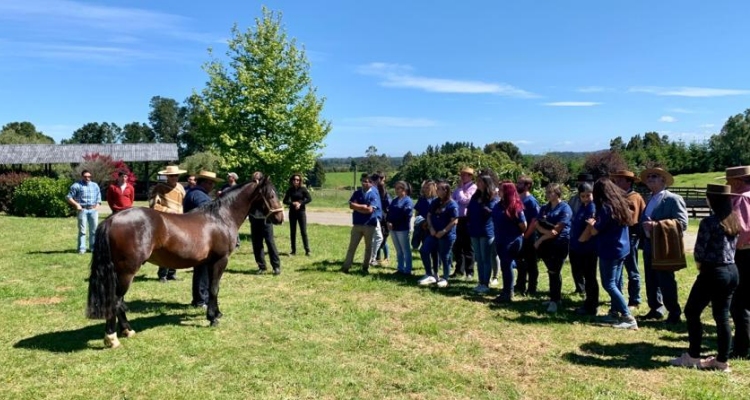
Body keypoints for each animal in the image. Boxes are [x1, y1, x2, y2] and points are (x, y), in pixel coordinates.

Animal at [85, 175, 284, 346]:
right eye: (271, 195)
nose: (280, 218)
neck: (220, 217)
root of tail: (111, 220)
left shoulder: (208, 262)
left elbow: (211, 288)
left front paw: (216, 313)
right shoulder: (220, 260)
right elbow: (214, 288)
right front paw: (213, 318)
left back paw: (127, 331)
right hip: (127, 271)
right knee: (116, 300)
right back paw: (112, 338)